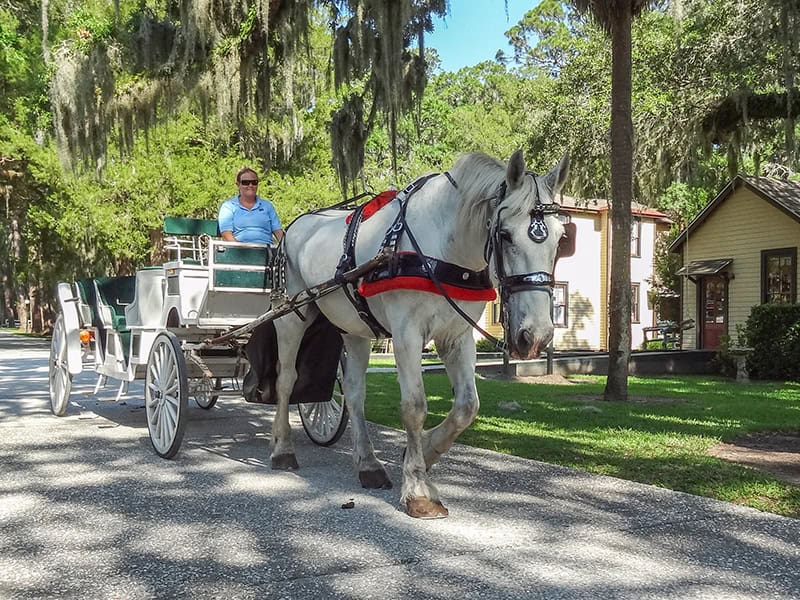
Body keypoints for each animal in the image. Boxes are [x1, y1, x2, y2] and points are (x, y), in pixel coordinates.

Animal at [272, 151, 572, 520]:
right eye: (504, 234)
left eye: (561, 239)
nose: (537, 335)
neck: (444, 249)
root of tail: (294, 226)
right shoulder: (407, 334)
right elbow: (414, 406)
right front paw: (417, 489)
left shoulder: (457, 336)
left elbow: (467, 406)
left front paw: (425, 453)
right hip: (291, 318)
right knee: (286, 381)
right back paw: (282, 449)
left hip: (353, 328)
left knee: (354, 393)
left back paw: (368, 464)